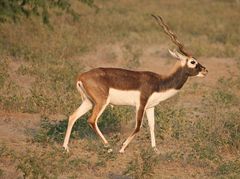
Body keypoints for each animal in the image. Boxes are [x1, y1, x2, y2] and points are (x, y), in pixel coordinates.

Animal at [62, 14, 207, 153]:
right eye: (193, 62)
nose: (205, 70)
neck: (159, 82)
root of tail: (81, 76)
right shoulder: (140, 104)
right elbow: (138, 127)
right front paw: (122, 148)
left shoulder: (150, 107)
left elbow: (152, 126)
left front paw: (155, 149)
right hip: (101, 102)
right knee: (92, 120)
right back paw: (109, 147)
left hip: (88, 102)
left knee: (72, 117)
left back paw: (65, 148)